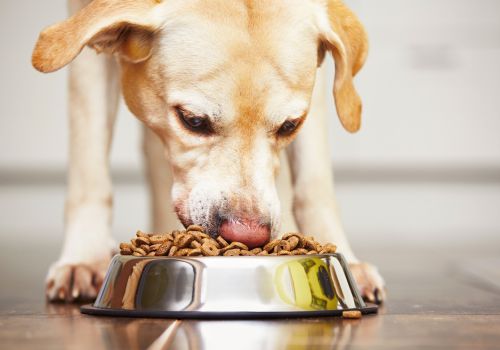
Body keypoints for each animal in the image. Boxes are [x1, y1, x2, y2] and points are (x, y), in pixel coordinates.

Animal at [33, 0, 384, 302]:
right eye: (193, 120)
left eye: (289, 126)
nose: (248, 235)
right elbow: (89, 166)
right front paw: (85, 257)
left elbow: (315, 182)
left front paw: (344, 260)